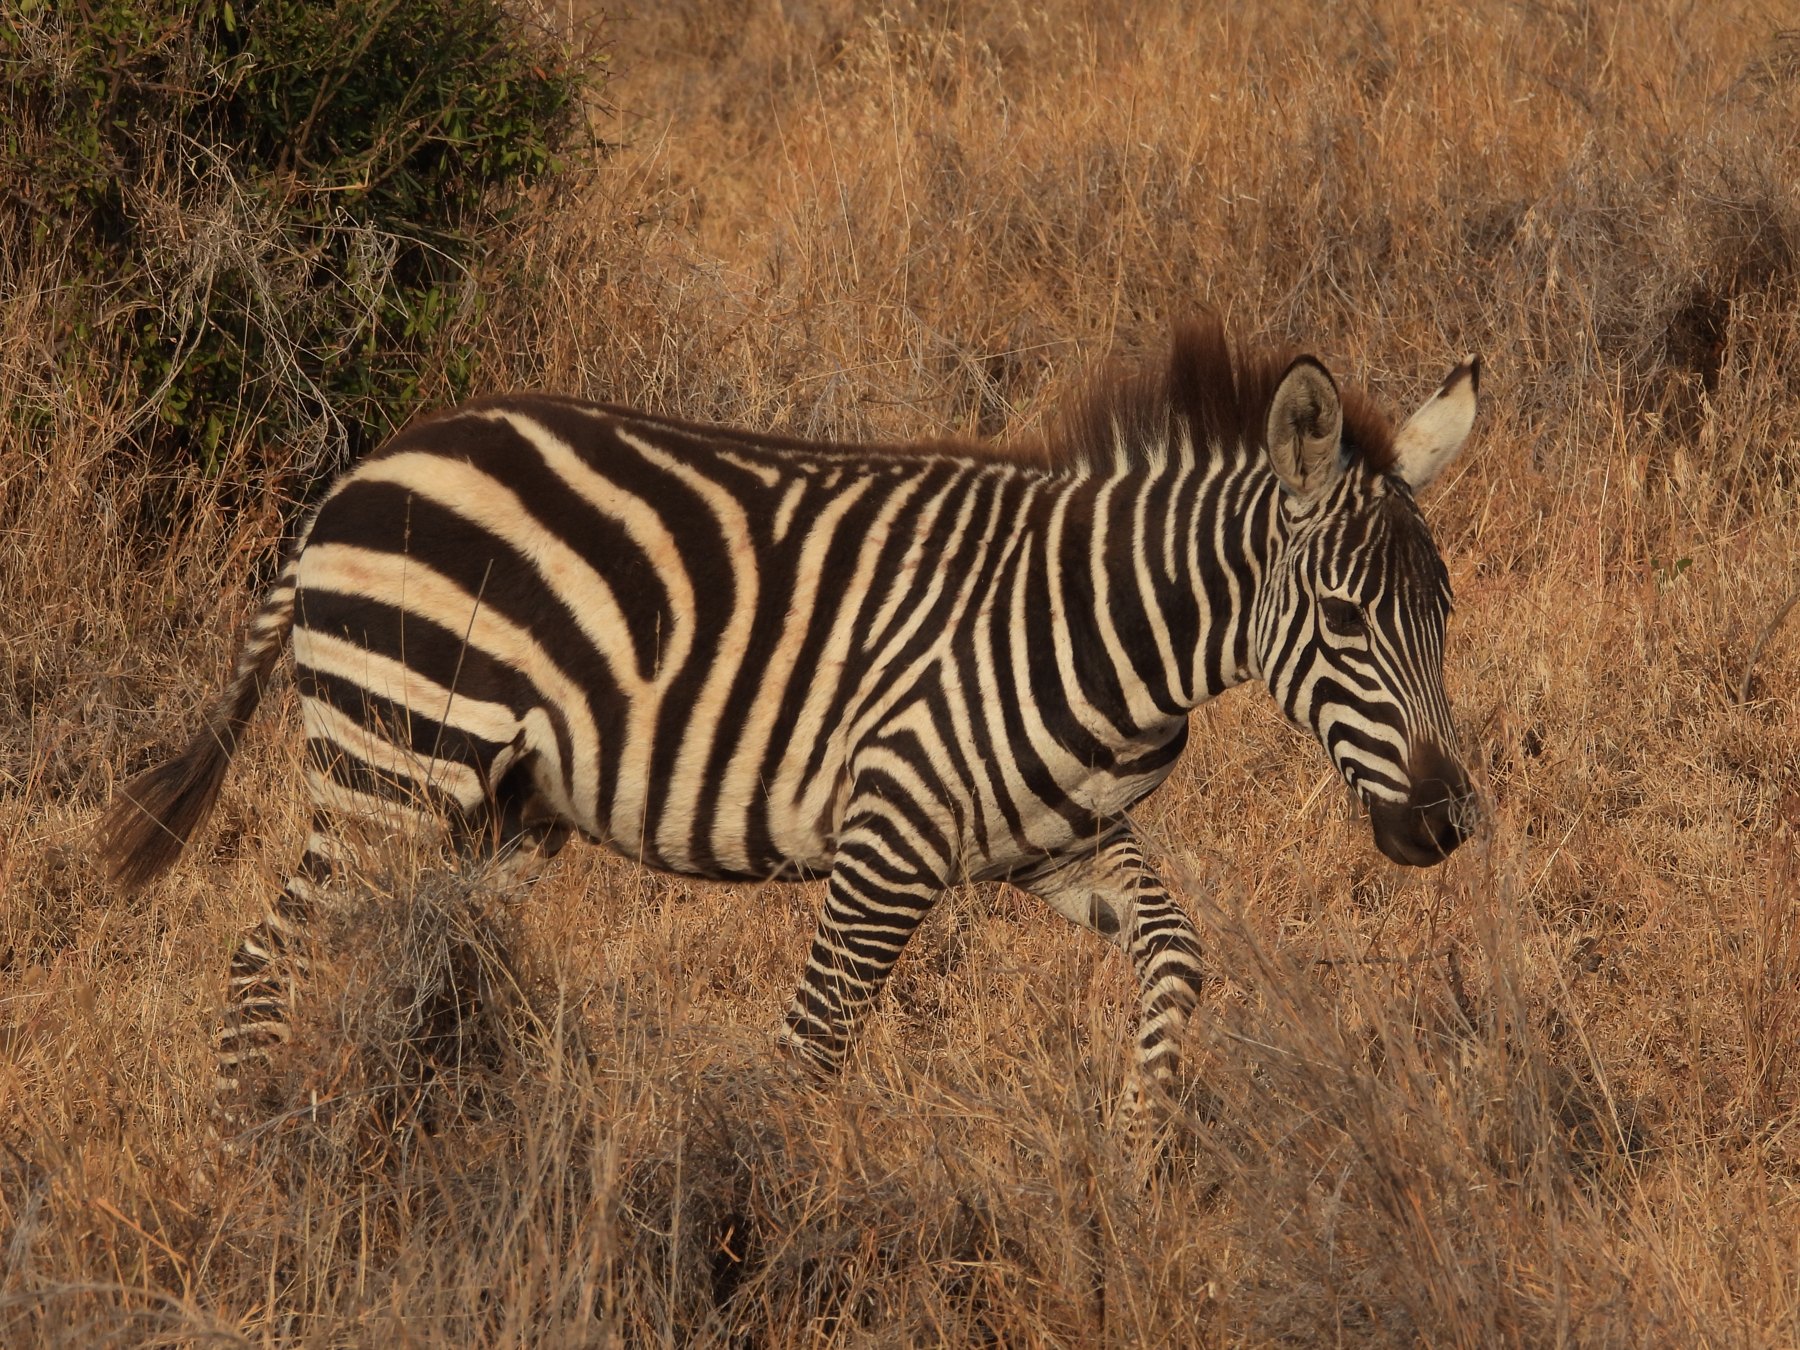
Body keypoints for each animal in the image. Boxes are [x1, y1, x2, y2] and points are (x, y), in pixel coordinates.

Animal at [98, 319, 1480, 1113]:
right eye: (1345, 620)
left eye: (1447, 613)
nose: (1447, 825)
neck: (1101, 623)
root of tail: (356, 480)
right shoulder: (892, 835)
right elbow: (811, 1048)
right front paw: (748, 1231)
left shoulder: (1059, 842)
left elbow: (1178, 955)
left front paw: (1141, 1160)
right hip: (392, 764)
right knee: (267, 958)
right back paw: (253, 1162)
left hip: (497, 810)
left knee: (415, 962)